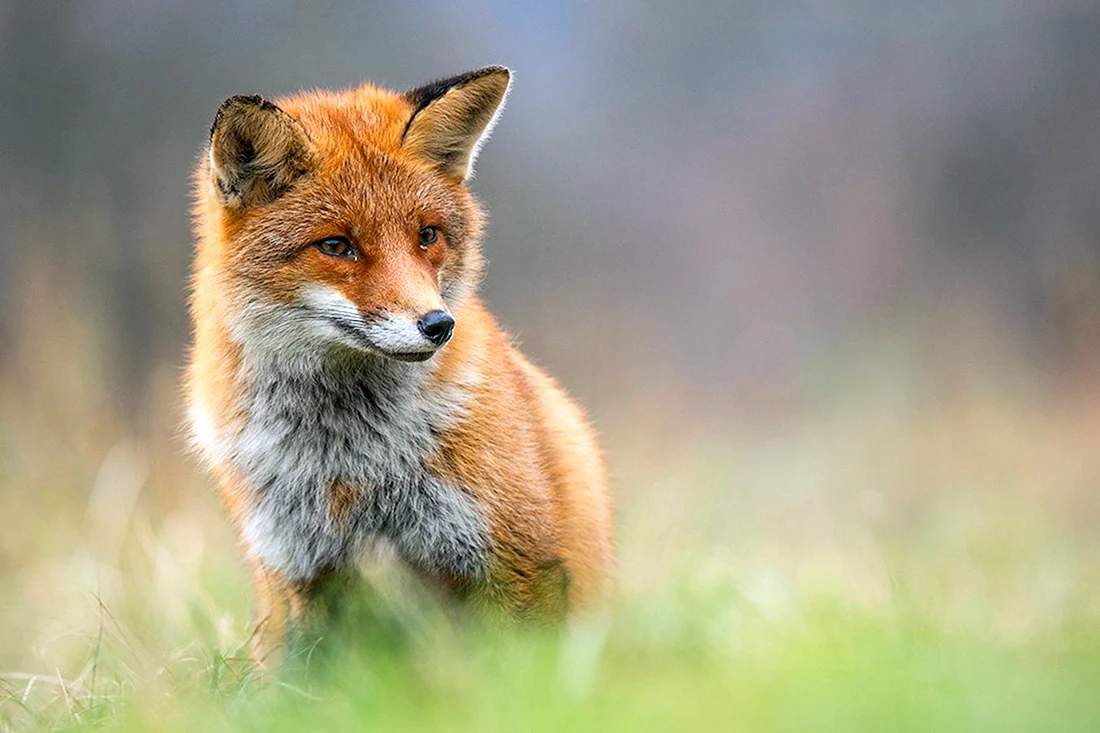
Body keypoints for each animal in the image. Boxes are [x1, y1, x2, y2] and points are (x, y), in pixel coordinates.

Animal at [185, 66, 614, 667]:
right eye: (336, 245)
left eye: (427, 235)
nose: (438, 325)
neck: (352, 458)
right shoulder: (305, 569)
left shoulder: (516, 557)